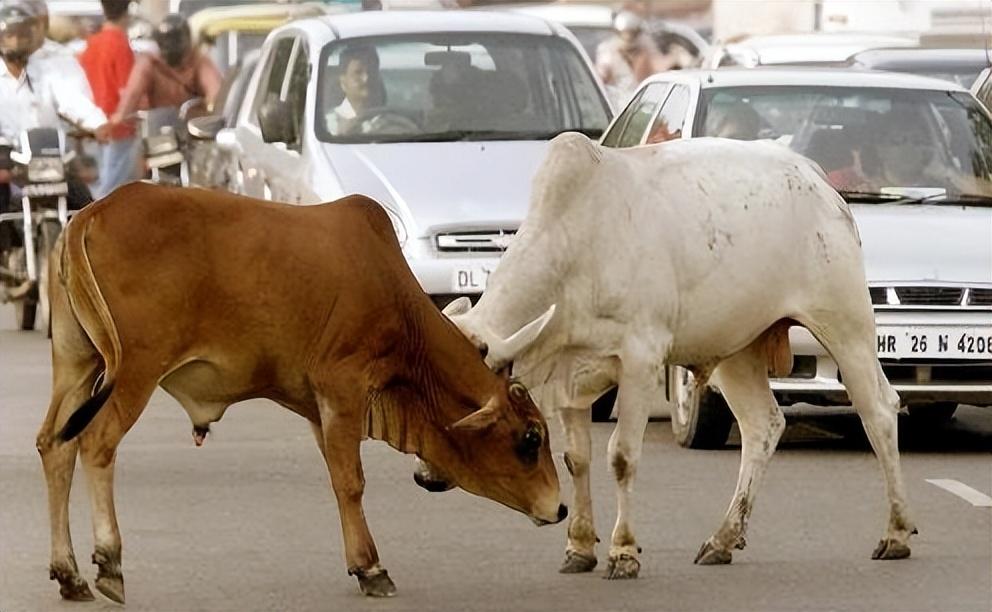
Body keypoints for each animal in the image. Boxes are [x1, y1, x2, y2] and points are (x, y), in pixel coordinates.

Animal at [35, 183, 564, 604]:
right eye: (530, 438)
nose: (558, 508)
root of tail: (90, 214)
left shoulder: (318, 409)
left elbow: (336, 477)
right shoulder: (343, 387)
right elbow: (351, 482)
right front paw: (372, 568)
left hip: (77, 364)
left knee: (55, 446)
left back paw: (69, 574)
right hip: (134, 372)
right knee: (96, 444)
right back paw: (109, 562)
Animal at [438, 133, 920, 580]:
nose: (428, 477)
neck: (579, 243)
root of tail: (814, 176)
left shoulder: (640, 359)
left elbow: (622, 457)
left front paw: (623, 552)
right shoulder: (570, 375)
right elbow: (577, 459)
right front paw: (579, 546)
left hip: (846, 324)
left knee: (878, 410)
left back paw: (897, 531)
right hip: (739, 348)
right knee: (762, 426)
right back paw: (723, 538)